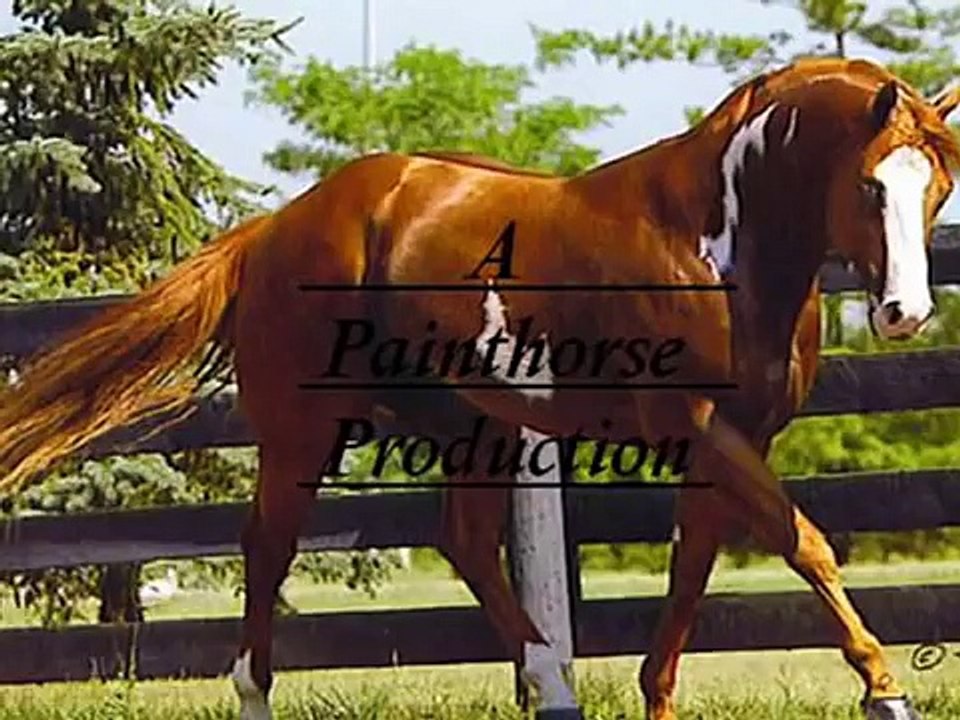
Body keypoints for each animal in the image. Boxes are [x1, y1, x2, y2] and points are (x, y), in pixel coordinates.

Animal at [0, 56, 958, 720]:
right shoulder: (696, 427)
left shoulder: (738, 436)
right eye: (870, 185)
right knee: (266, 547)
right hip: (302, 429)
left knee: (460, 541)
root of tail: (278, 226)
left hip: (476, 425)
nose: (905, 312)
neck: (712, 242)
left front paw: (658, 695)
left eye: (937, 187)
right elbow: (808, 545)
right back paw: (255, 696)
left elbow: (694, 572)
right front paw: (884, 689)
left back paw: (554, 688)